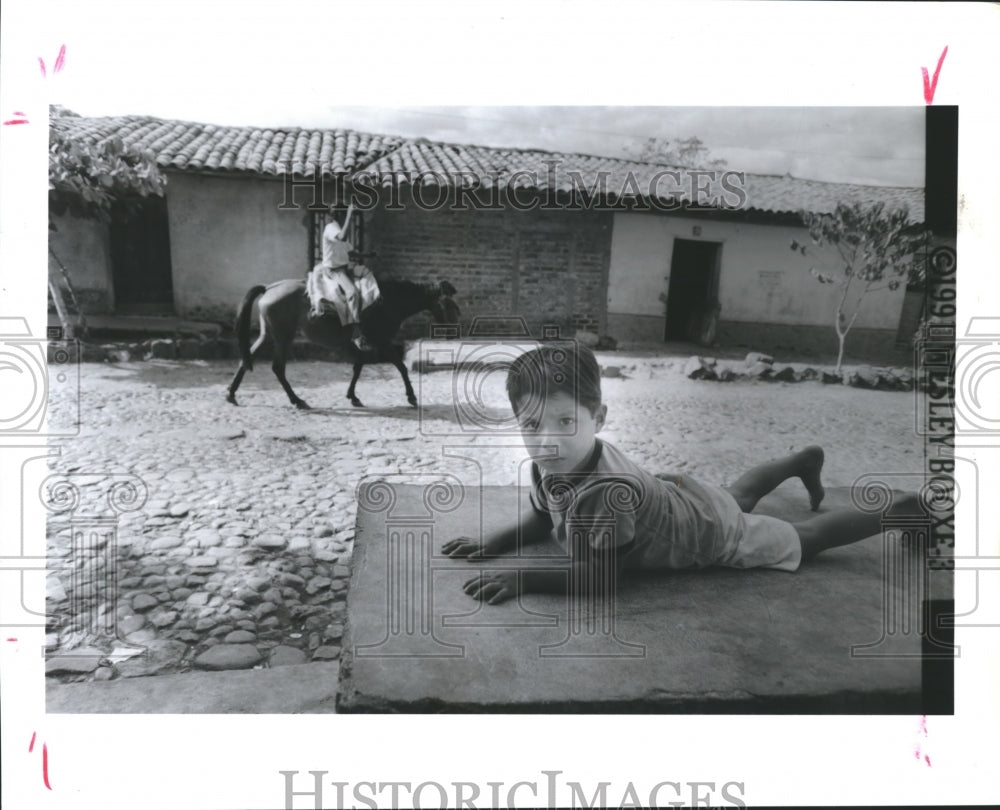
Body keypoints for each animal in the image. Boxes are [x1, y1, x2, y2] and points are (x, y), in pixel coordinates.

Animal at [225, 278, 458, 408]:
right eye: (449, 304)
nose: (452, 333)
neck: (388, 301)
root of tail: (269, 288)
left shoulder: (359, 342)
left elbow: (358, 366)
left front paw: (353, 396)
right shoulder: (380, 340)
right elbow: (399, 365)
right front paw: (411, 396)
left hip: (268, 335)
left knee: (246, 359)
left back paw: (231, 394)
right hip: (283, 337)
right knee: (277, 368)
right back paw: (297, 400)